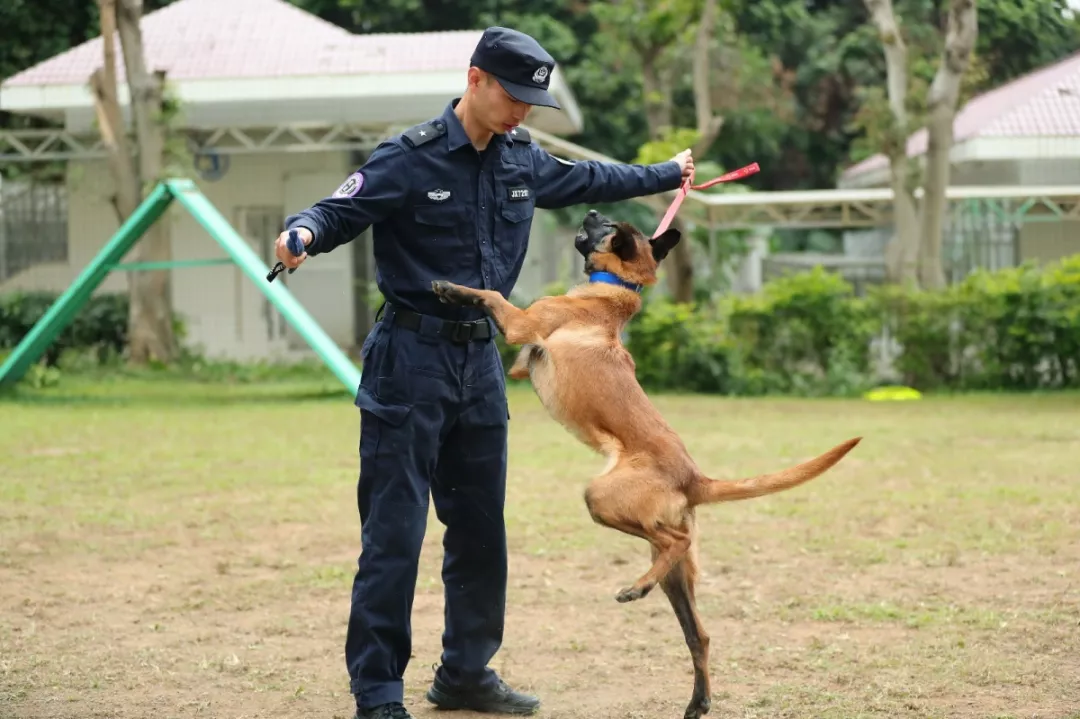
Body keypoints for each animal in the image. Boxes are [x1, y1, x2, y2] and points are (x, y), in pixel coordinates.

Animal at [431, 209, 861, 719]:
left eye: (606, 226)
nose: (592, 211)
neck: (614, 290)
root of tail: (695, 478)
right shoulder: (522, 360)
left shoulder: (521, 325)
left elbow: (494, 297)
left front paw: (453, 289)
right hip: (676, 573)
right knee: (699, 632)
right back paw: (697, 698)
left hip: (602, 498)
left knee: (674, 542)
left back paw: (635, 589)